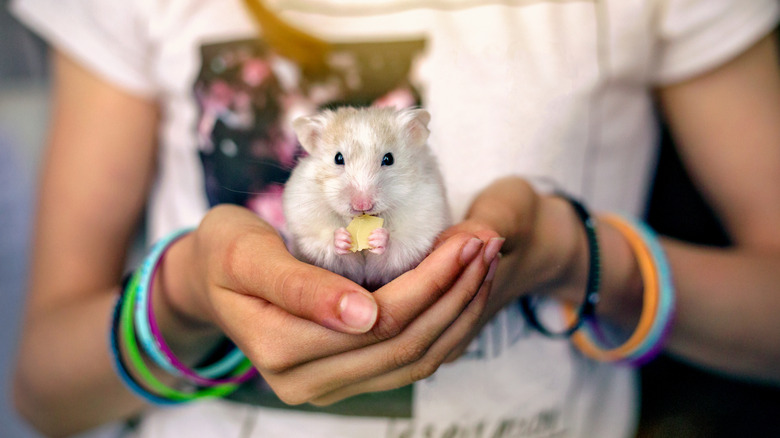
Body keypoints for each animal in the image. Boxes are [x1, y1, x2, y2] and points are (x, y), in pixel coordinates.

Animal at [282, 106, 450, 290]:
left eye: (389, 159)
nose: (362, 205)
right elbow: (328, 245)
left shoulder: (420, 229)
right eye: (338, 158)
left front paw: (378, 238)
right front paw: (342, 238)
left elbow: (396, 247)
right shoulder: (308, 231)